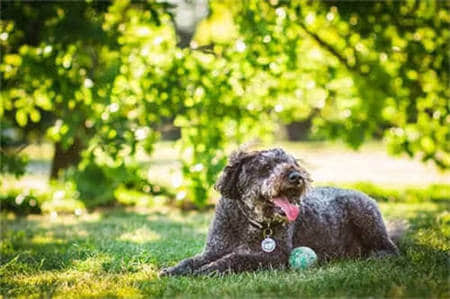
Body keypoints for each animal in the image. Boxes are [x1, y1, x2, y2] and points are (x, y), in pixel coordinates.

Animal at [160, 148, 400, 276]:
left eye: (292, 163)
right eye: (266, 167)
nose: (296, 176)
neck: (249, 221)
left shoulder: (272, 256)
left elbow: (232, 259)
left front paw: (204, 272)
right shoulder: (213, 249)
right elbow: (190, 261)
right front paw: (173, 270)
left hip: (366, 217)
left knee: (391, 249)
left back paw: (378, 256)